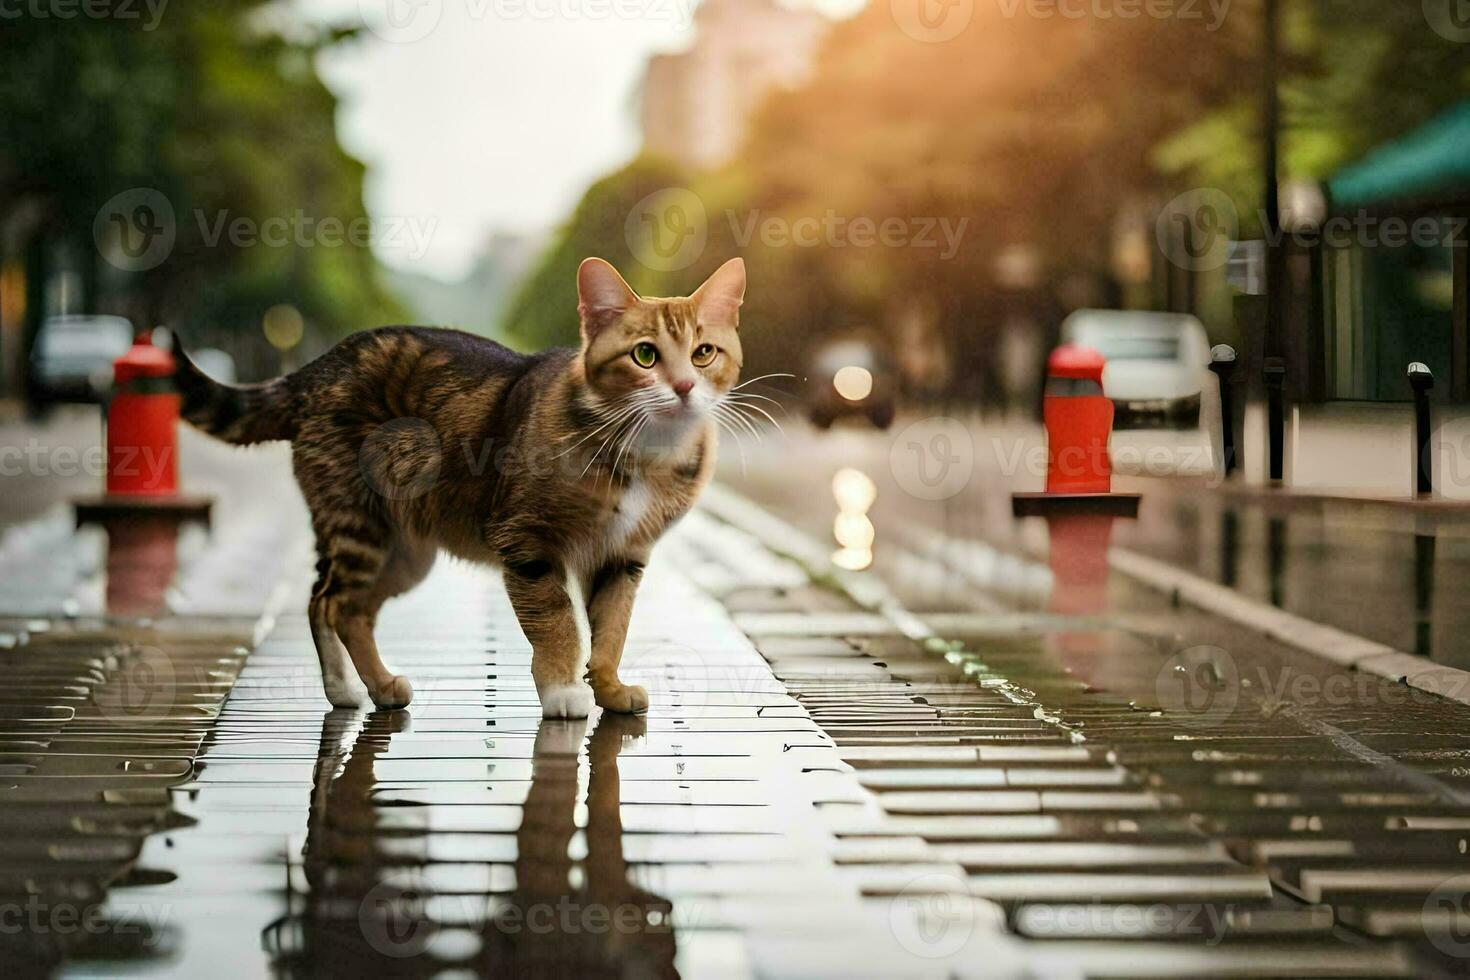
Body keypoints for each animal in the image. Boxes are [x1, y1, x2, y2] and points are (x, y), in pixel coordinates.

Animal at [174, 258, 746, 719]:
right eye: (645, 355)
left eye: (703, 353)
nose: (685, 387)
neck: (644, 449)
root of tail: (313, 369)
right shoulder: (528, 543)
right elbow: (557, 621)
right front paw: (563, 690)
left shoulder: (623, 556)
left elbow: (612, 628)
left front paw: (608, 688)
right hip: (362, 522)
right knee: (334, 602)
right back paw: (353, 686)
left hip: (404, 552)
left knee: (338, 605)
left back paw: (367, 687)